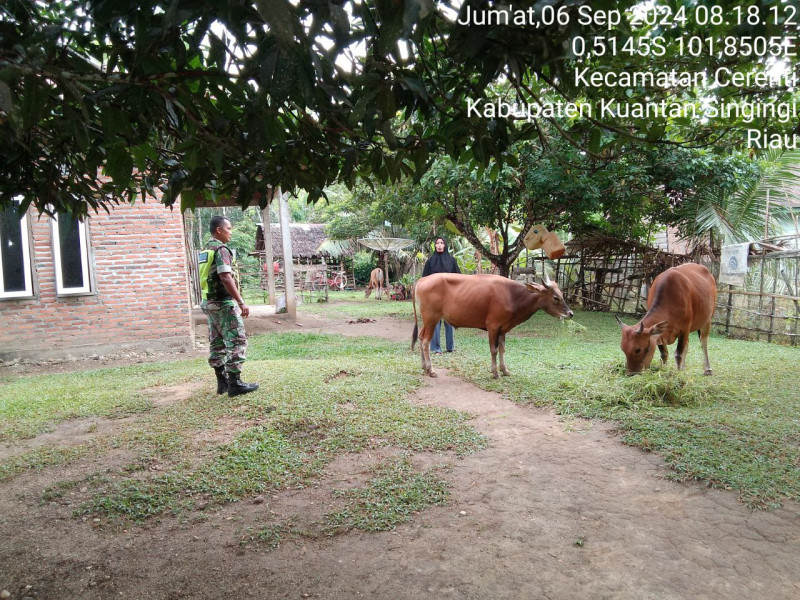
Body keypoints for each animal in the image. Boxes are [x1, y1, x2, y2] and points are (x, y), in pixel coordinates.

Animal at [412, 274, 576, 378]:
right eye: (555, 297)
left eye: (562, 294)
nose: (570, 313)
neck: (512, 296)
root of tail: (422, 279)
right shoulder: (493, 326)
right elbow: (494, 350)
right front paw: (495, 372)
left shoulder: (503, 328)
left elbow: (502, 349)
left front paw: (504, 370)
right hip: (432, 318)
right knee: (426, 341)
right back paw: (430, 369)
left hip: (427, 320)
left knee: (420, 338)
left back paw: (423, 366)